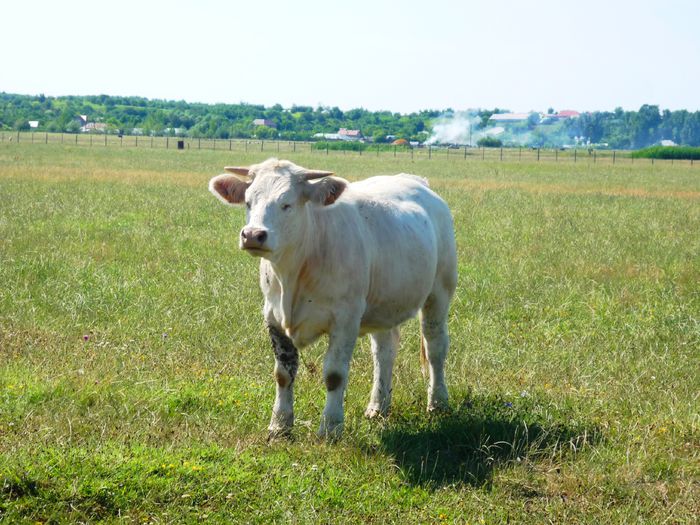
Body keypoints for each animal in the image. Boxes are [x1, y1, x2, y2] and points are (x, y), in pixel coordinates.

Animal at [211, 158, 456, 436]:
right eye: (248, 201)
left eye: (287, 204)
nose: (253, 235)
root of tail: (416, 181)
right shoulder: (273, 317)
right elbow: (283, 373)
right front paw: (279, 425)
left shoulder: (345, 320)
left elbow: (334, 375)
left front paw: (330, 427)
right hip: (383, 305)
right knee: (384, 351)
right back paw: (378, 405)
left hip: (439, 292)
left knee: (435, 346)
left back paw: (438, 402)